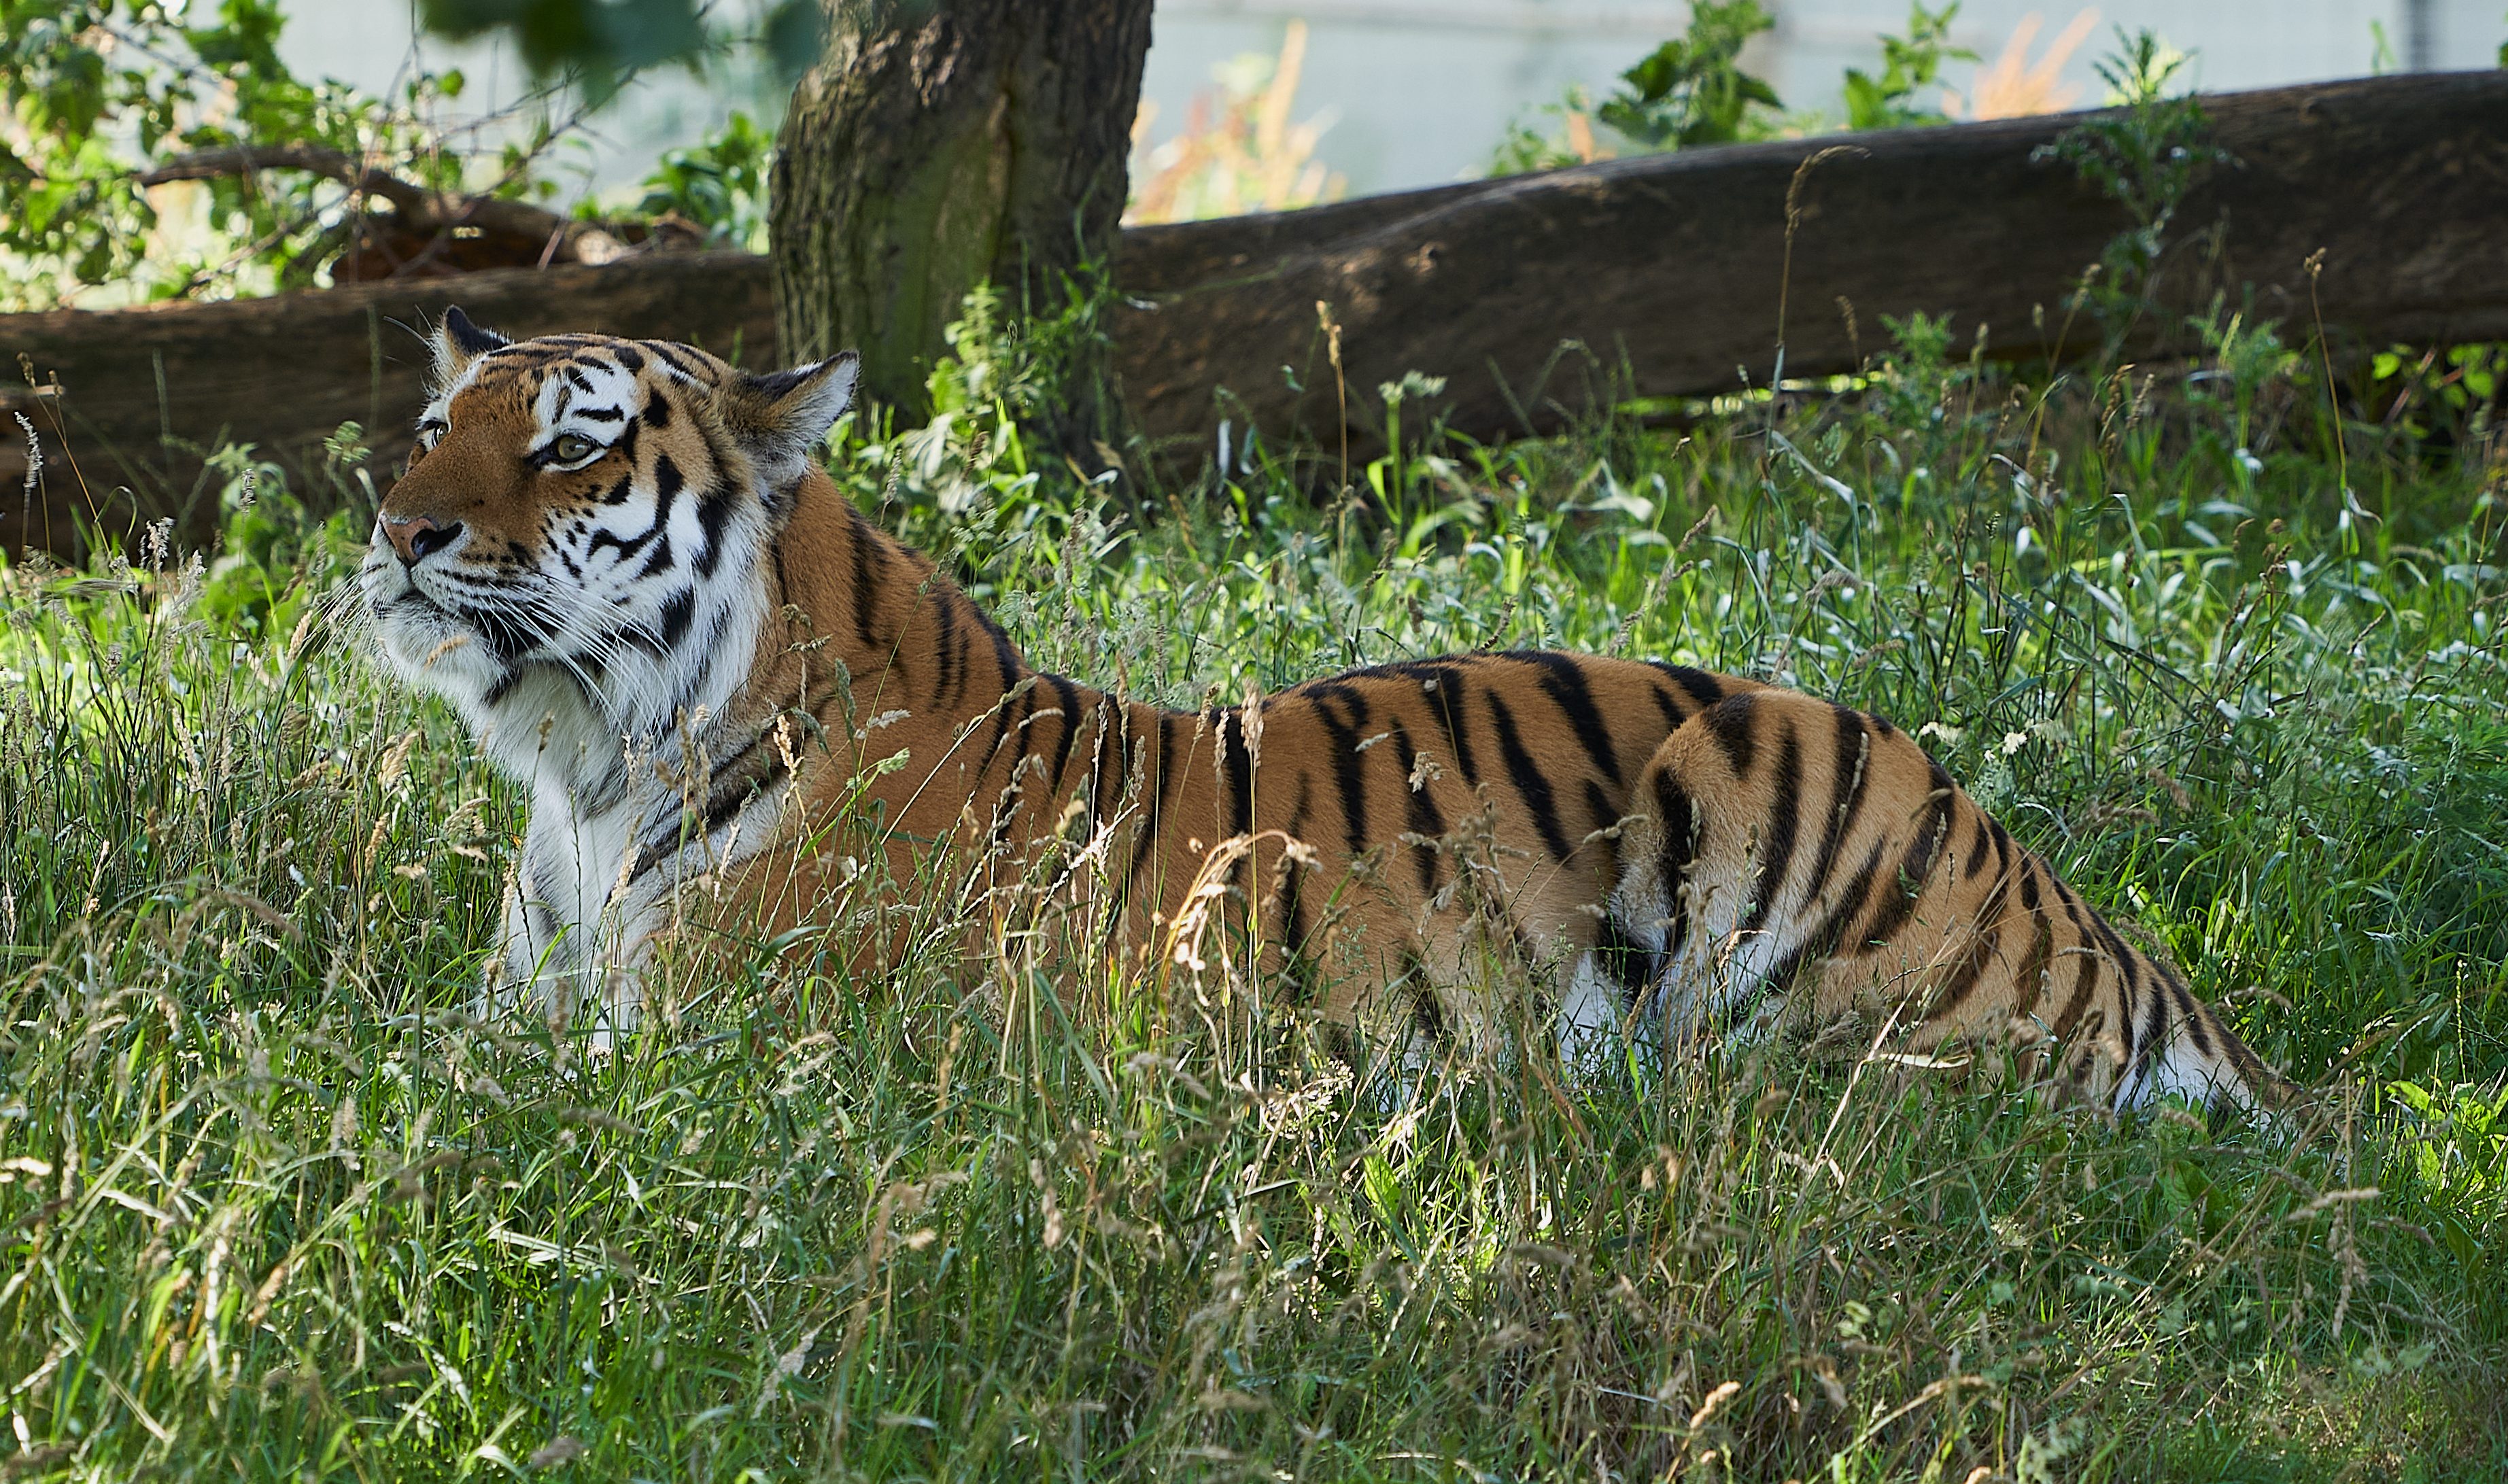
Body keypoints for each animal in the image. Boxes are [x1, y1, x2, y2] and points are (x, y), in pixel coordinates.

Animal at [354, 309, 2297, 1123]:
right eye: (439, 423)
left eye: (572, 444)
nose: (398, 530)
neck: (585, 771)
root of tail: (2082, 911)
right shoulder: (518, 1001)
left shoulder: (717, 1049)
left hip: (1777, 797)